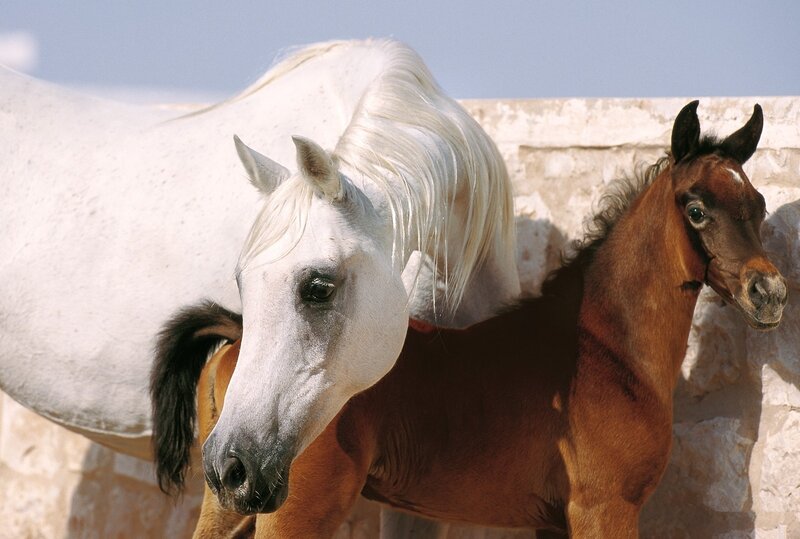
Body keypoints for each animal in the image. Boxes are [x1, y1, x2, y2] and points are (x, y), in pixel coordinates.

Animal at [152, 101, 787, 537]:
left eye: (757, 205)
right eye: (697, 210)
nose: (770, 293)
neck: (607, 350)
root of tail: (237, 331)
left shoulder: (555, 520)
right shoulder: (606, 510)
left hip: (229, 502)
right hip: (290, 508)